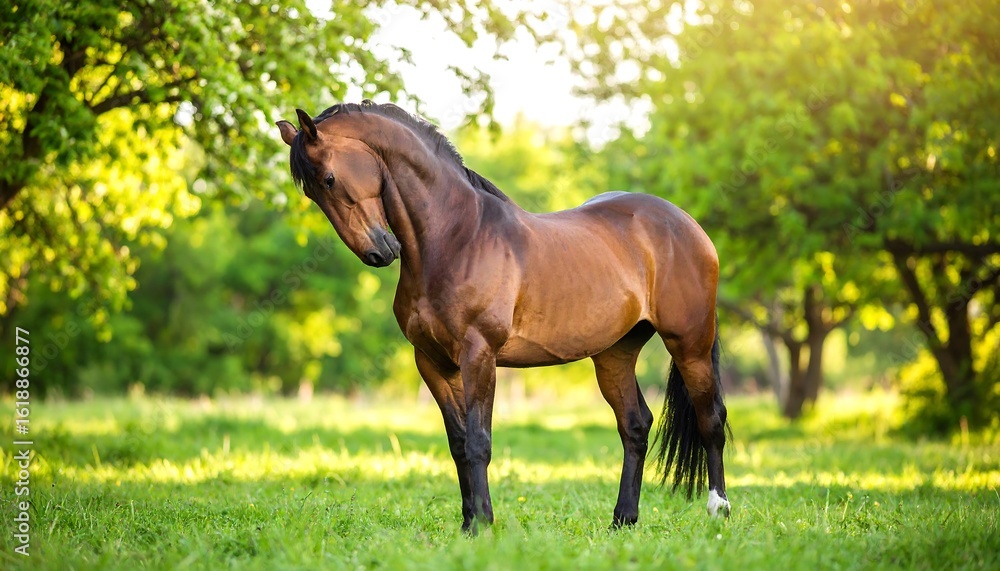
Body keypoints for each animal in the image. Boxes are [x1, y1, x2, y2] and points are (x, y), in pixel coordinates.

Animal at [276, 101, 731, 532]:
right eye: (312, 193)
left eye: (329, 178)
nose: (379, 252)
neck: (457, 237)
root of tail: (686, 224)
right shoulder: (432, 362)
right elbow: (458, 443)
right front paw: (468, 522)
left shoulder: (479, 355)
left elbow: (479, 441)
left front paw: (482, 525)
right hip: (614, 354)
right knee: (635, 426)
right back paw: (623, 520)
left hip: (690, 346)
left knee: (710, 420)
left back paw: (718, 511)